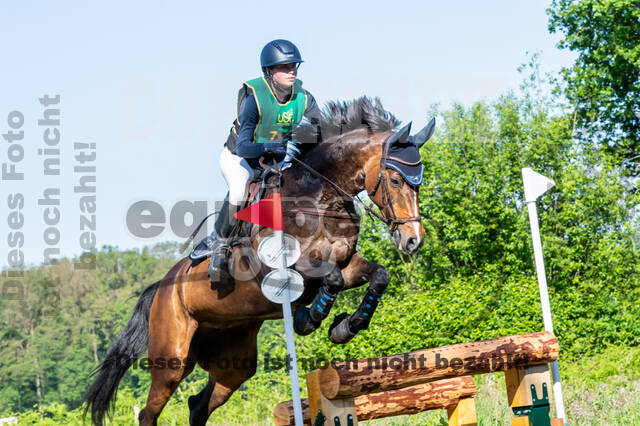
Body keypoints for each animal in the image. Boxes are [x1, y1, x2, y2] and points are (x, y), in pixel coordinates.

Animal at [84, 97, 435, 426]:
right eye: (395, 181)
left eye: (418, 181)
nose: (413, 240)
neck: (318, 199)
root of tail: (161, 287)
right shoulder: (280, 269)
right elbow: (331, 280)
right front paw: (310, 319)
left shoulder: (346, 262)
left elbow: (377, 275)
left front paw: (345, 327)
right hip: (171, 359)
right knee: (149, 412)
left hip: (233, 362)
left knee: (198, 405)